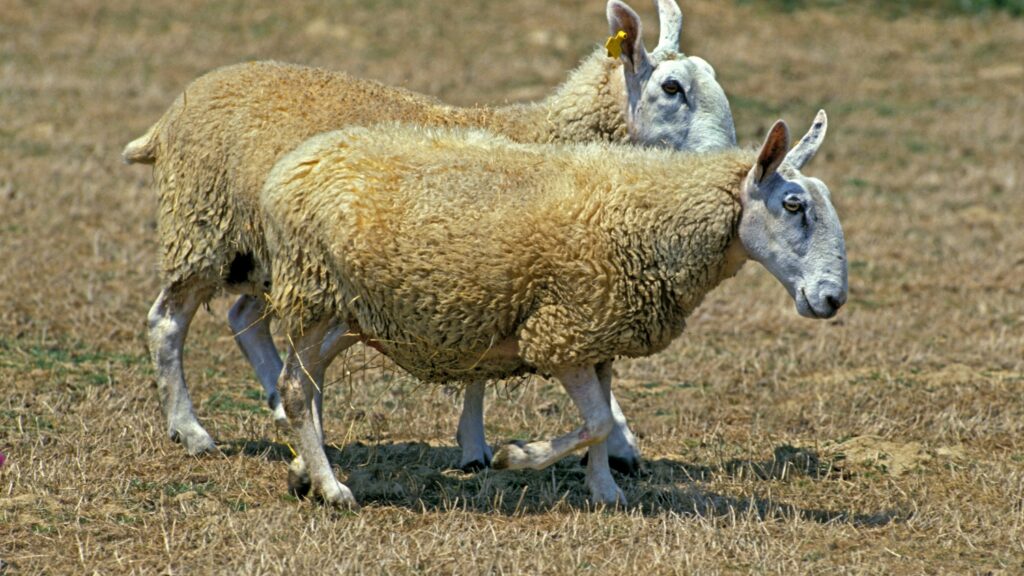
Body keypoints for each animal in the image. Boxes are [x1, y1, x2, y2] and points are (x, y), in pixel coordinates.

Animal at [121, 0, 737, 469]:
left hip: (272, 259)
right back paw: (191, 430)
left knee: (244, 318)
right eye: (673, 87)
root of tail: (174, 113)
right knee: (167, 322)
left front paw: (479, 445)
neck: (541, 133)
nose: (732, 163)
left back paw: (284, 409)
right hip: (204, 231)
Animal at [262, 109, 847, 504]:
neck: (657, 221)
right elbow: (598, 422)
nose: (832, 298)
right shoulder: (562, 330)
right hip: (313, 290)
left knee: (310, 380)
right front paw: (517, 455)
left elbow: (603, 417)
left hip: (347, 309)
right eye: (793, 205)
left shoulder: (599, 333)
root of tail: (289, 166)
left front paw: (605, 489)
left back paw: (306, 470)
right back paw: (331, 486)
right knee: (295, 389)